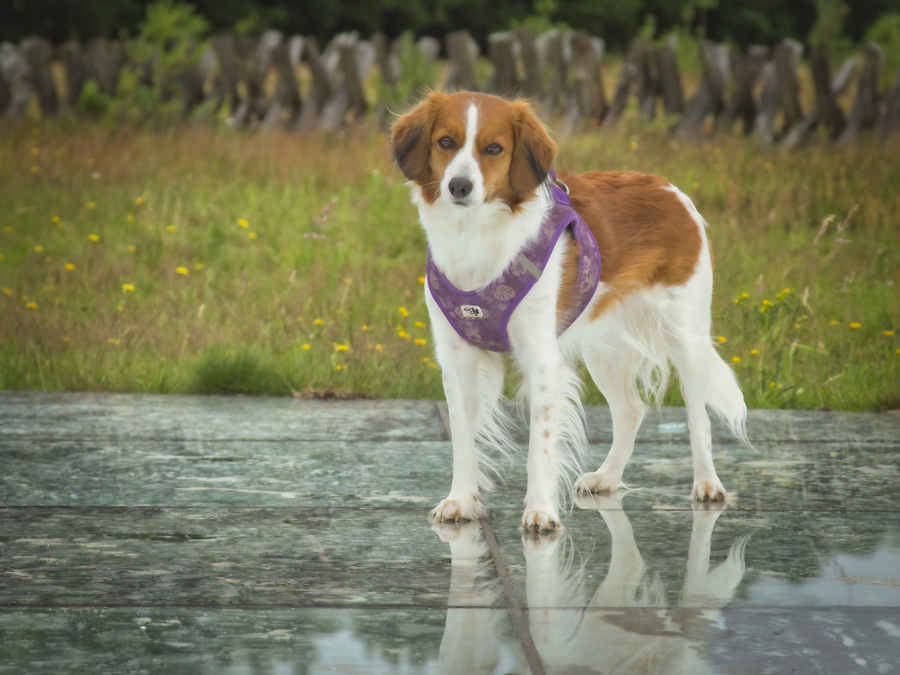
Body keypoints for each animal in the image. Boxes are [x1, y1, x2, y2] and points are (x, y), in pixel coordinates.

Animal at [390, 91, 748, 532]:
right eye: (445, 142)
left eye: (494, 149)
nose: (459, 185)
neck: (475, 235)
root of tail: (670, 189)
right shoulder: (456, 357)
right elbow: (462, 439)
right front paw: (461, 500)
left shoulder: (541, 358)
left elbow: (539, 447)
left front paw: (540, 510)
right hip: (603, 350)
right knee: (631, 410)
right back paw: (607, 477)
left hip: (686, 336)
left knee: (698, 413)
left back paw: (707, 483)